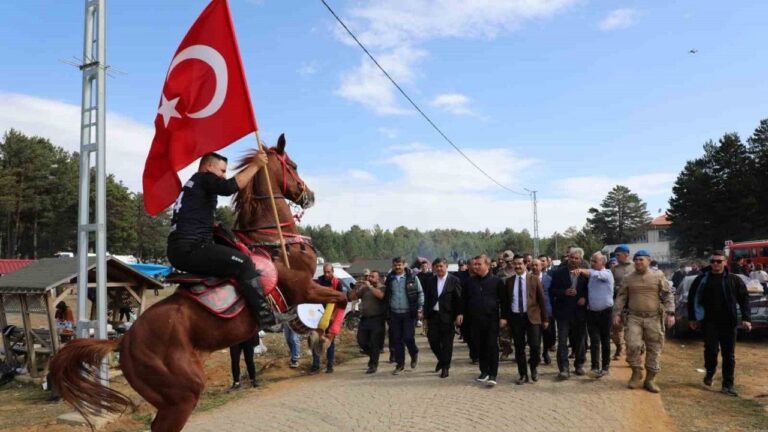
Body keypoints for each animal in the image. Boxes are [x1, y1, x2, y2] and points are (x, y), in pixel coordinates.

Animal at [50, 133, 344, 430]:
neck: (273, 241)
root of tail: (124, 340)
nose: (309, 195)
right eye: (293, 166)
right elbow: (342, 297)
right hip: (183, 394)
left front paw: (318, 336)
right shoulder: (303, 288)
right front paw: (323, 336)